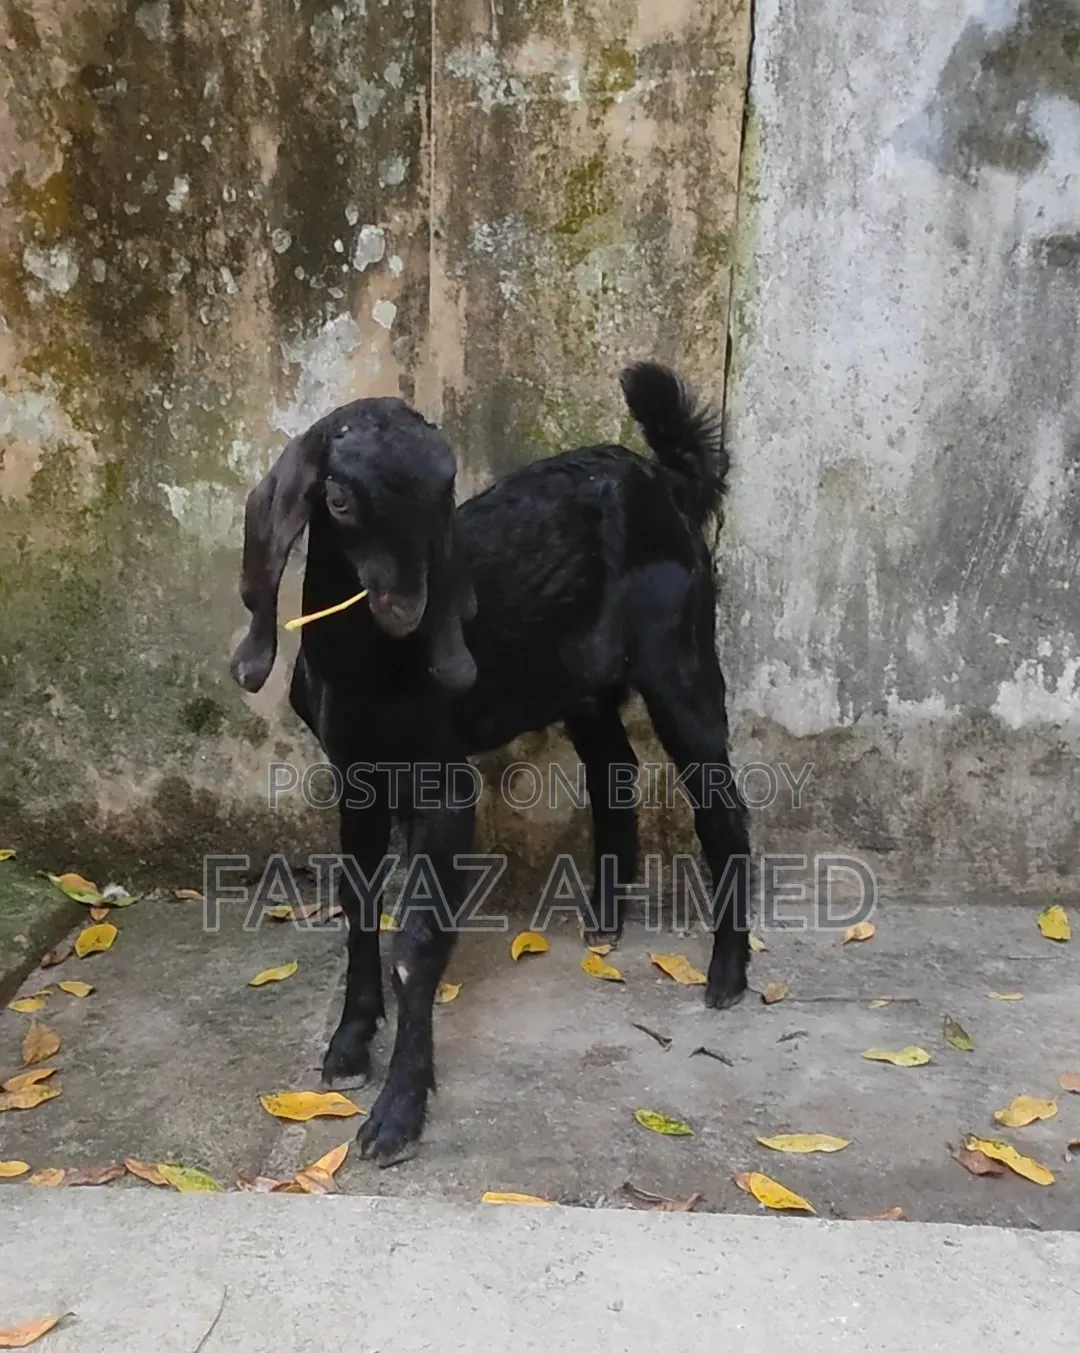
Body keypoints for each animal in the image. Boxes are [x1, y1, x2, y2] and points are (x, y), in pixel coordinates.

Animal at [230, 362, 751, 1162]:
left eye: (445, 495)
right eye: (339, 499)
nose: (409, 609)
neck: (371, 670)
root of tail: (662, 479)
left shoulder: (445, 785)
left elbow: (417, 943)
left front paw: (398, 1112)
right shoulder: (357, 777)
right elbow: (359, 908)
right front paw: (349, 1044)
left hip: (680, 656)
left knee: (721, 804)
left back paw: (727, 974)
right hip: (578, 680)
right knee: (614, 769)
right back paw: (606, 916)